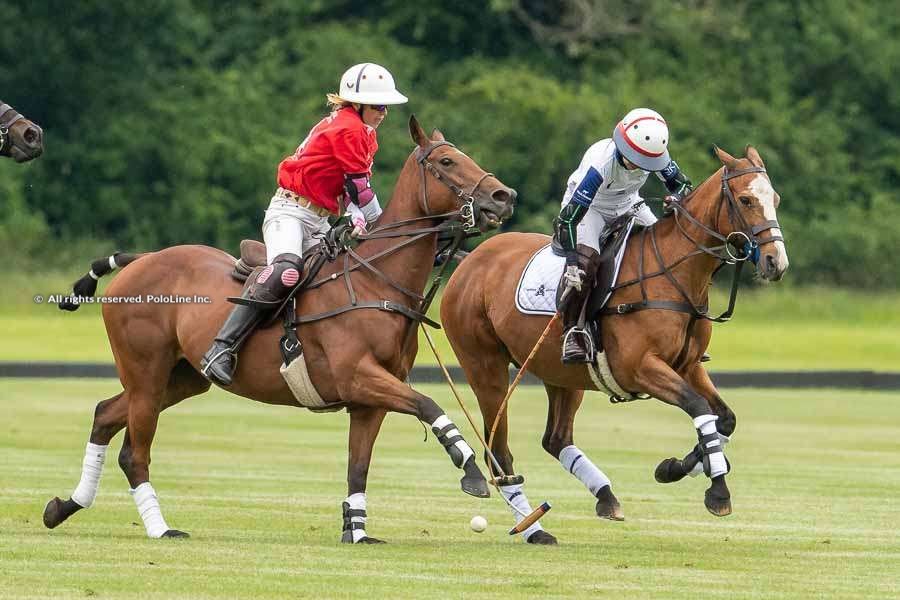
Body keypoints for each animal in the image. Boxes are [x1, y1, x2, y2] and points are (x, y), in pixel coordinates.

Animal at [42, 117, 516, 544]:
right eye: (447, 161)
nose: (503, 196)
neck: (375, 280)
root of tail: (141, 259)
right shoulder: (357, 375)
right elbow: (428, 404)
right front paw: (472, 472)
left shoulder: (369, 400)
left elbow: (358, 466)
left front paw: (358, 532)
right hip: (146, 371)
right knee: (134, 453)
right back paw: (160, 528)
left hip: (181, 378)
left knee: (105, 413)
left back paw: (64, 507)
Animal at [442, 145, 788, 544]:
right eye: (746, 199)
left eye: (775, 199)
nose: (775, 262)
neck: (675, 274)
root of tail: (470, 261)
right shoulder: (639, 367)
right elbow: (699, 407)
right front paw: (717, 491)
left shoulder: (688, 365)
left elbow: (725, 419)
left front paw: (677, 466)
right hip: (484, 366)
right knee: (497, 448)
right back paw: (533, 527)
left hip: (560, 372)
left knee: (556, 439)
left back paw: (605, 497)